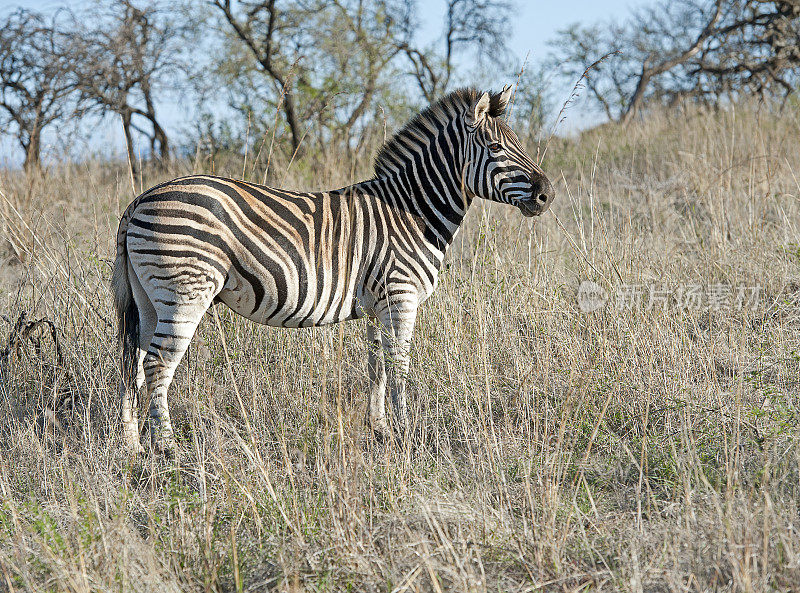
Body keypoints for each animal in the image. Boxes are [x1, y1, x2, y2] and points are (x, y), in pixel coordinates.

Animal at [114, 84, 556, 454]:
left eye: (518, 144)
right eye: (496, 148)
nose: (546, 195)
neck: (411, 212)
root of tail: (140, 199)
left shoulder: (379, 304)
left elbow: (377, 366)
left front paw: (380, 430)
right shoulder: (401, 296)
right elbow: (399, 367)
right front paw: (406, 434)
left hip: (149, 299)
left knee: (133, 364)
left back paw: (132, 447)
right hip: (184, 292)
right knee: (157, 364)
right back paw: (168, 448)